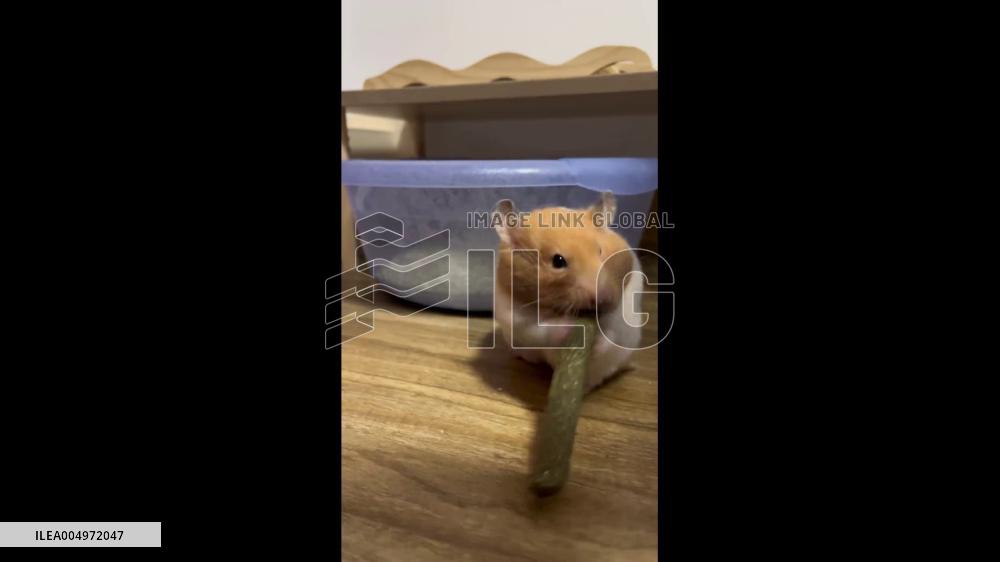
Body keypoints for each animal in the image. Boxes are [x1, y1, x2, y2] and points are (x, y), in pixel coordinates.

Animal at [493, 193, 643, 392]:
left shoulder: (623, 312)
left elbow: (612, 333)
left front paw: (598, 340)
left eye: (600, 250)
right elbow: (545, 329)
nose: (603, 300)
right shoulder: (518, 319)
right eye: (558, 261)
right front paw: (570, 326)